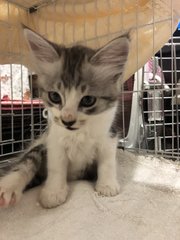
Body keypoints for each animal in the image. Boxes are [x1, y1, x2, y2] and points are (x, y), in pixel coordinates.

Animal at [0, 27, 129, 208]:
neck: (78, 133)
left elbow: (107, 161)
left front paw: (107, 185)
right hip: (38, 145)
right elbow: (56, 167)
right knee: (27, 161)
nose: (67, 120)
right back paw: (8, 188)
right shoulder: (53, 140)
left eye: (88, 100)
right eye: (55, 96)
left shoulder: (109, 135)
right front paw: (53, 192)